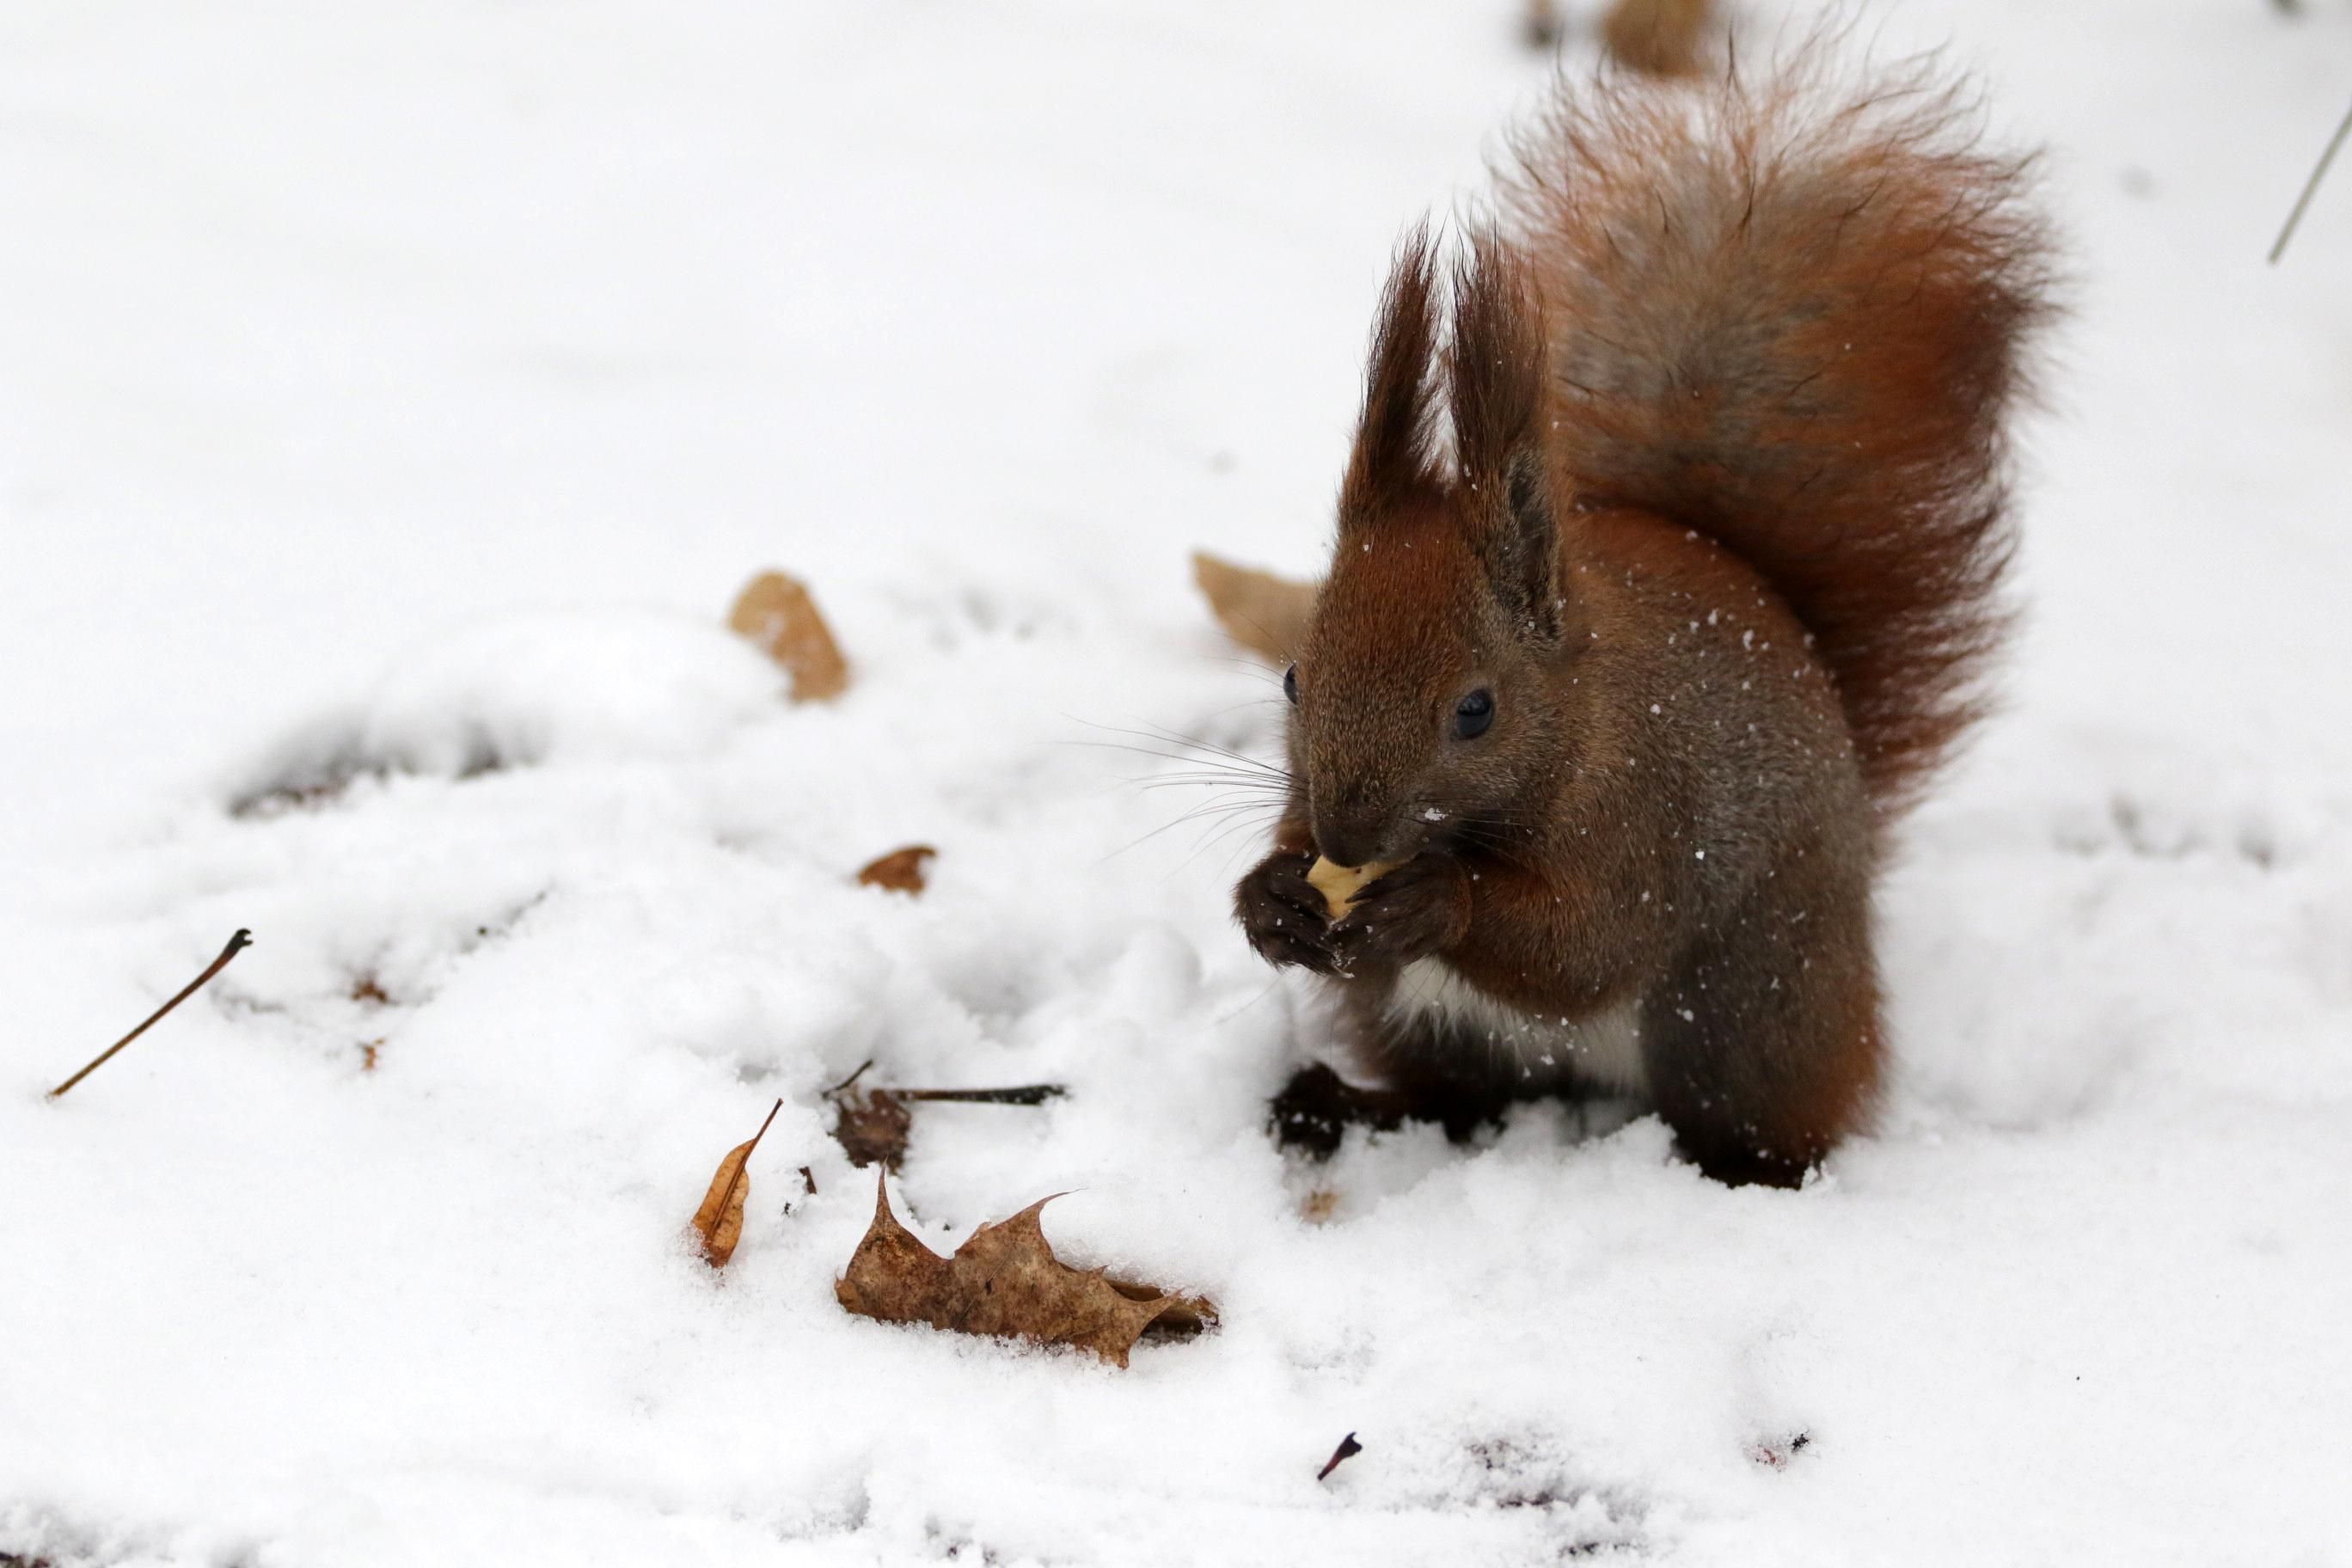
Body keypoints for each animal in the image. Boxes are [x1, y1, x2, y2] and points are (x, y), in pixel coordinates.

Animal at [1241, 52, 2050, 1189]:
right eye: (1291, 680)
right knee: (1457, 1098)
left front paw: (1437, 901)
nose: (1347, 838)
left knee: (1756, 1112)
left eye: (1477, 711)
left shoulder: (1642, 815)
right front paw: (1271, 895)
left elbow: (1587, 942)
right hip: (1423, 1020)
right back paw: (1337, 1108)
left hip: (1743, 1006)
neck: (1578, 717)